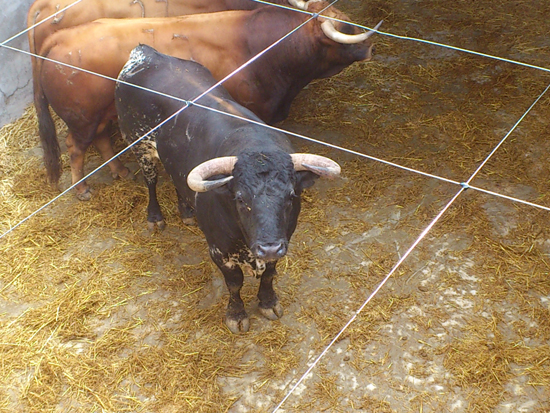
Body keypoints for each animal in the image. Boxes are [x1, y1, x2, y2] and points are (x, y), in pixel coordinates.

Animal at [35, 0, 380, 199]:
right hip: (82, 119)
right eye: (347, 25)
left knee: (102, 139)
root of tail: (61, 37)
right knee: (75, 147)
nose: (371, 48)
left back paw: (120, 171)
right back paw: (81, 188)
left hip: (102, 115)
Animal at [115, 45, 340, 332]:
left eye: (291, 196)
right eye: (241, 199)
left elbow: (270, 275)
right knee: (151, 181)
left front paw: (268, 302)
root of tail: (145, 51)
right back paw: (155, 218)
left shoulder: (283, 239)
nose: (268, 248)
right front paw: (236, 314)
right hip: (139, 145)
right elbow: (234, 283)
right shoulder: (219, 250)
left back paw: (187, 211)